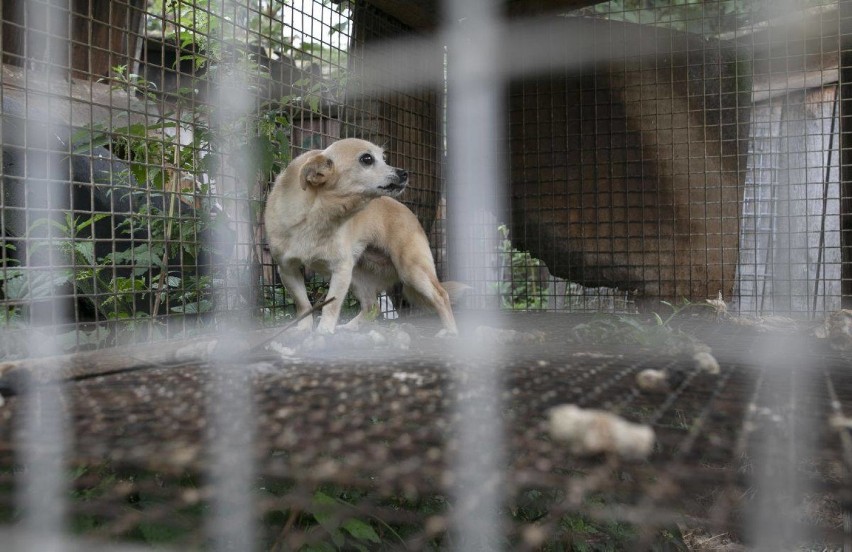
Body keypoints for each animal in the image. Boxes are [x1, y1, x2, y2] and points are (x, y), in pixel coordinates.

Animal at [264, 138, 460, 336]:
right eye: (367, 159)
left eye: (383, 158)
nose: (404, 173)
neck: (316, 216)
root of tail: (409, 213)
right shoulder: (287, 269)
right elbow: (303, 304)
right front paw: (303, 329)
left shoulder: (341, 269)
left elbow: (331, 306)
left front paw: (324, 331)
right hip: (358, 276)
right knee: (372, 306)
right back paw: (348, 327)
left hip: (412, 270)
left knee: (441, 296)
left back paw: (451, 332)